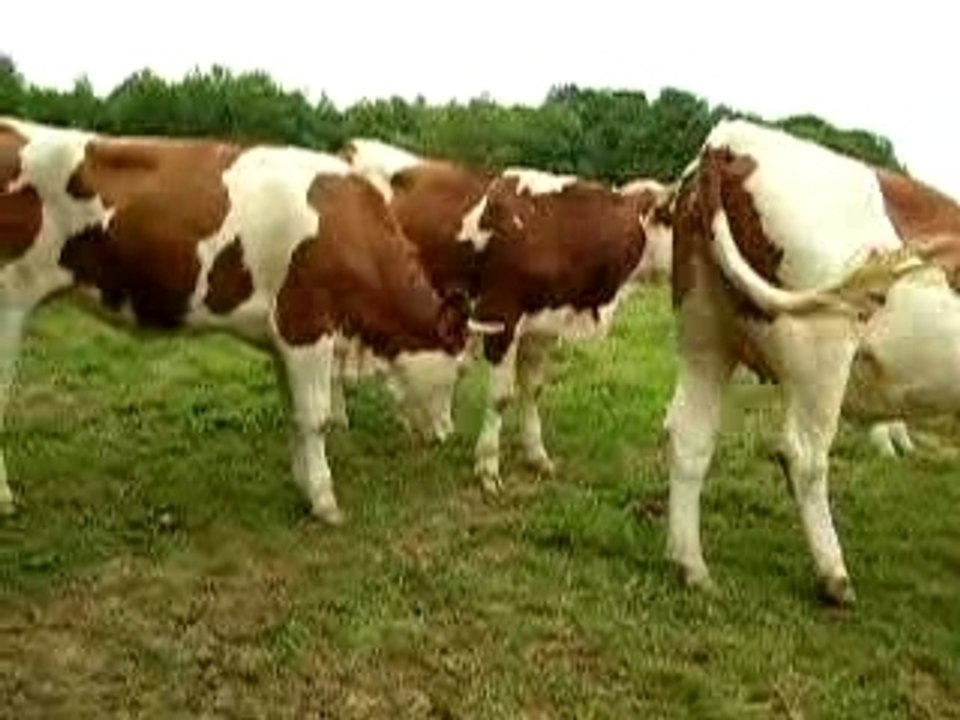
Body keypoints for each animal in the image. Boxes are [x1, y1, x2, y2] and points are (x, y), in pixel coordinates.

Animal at [0, 116, 497, 523]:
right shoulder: (306, 324)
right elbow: (315, 417)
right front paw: (325, 501)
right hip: (8, 305)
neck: (348, 227)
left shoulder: (283, 337)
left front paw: (304, 487)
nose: (446, 434)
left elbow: (295, 414)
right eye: (460, 370)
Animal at [341, 138, 674, 492]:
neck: (554, 226)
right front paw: (488, 467)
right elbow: (501, 397)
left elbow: (534, 390)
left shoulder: (543, 327)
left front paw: (537, 455)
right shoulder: (500, 317)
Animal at [663, 117, 960, 605]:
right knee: (804, 455)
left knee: (689, 435)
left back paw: (691, 566)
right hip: (821, 346)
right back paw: (833, 575)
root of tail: (731, 138)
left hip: (704, 336)